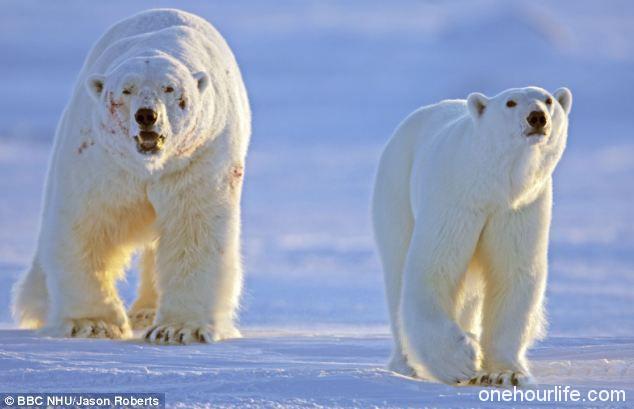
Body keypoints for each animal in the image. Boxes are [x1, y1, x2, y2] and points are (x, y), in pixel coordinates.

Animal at [11, 7, 249, 342]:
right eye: (126, 90)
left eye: (169, 88)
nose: (147, 115)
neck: (148, 164)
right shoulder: (102, 160)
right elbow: (88, 223)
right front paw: (92, 324)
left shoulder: (199, 157)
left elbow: (195, 229)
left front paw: (178, 329)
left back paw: (146, 312)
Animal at [372, 86, 572, 386]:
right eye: (510, 102)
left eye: (548, 100)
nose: (537, 117)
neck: (494, 184)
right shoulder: (457, 199)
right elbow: (435, 267)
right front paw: (461, 360)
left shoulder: (519, 208)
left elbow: (512, 275)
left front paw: (506, 373)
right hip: (396, 191)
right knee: (397, 271)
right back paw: (405, 364)